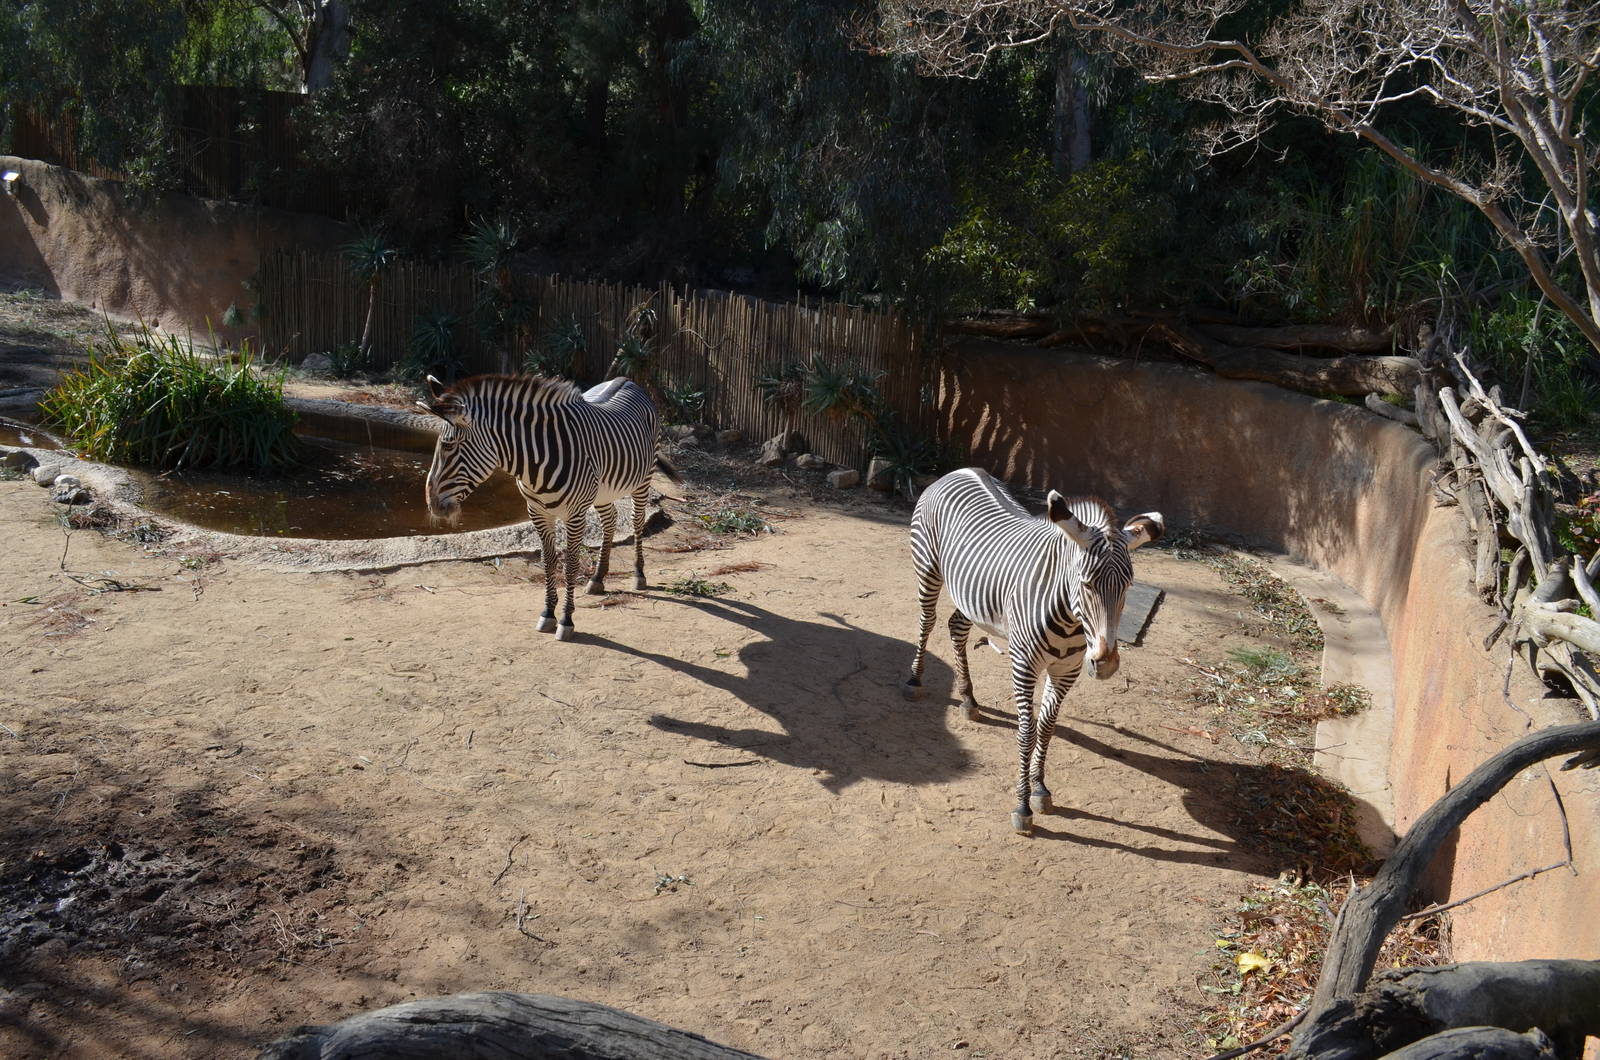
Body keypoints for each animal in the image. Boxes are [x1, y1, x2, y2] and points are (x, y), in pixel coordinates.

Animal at [416, 373, 679, 641]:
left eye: (448, 445)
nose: (432, 504)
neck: (536, 461)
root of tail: (626, 379)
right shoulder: (537, 511)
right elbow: (549, 560)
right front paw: (547, 613)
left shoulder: (575, 514)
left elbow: (570, 564)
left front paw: (566, 620)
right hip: (604, 491)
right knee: (611, 520)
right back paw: (597, 578)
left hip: (643, 479)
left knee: (636, 521)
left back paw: (638, 574)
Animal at [903, 467, 1163, 835]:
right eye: (1086, 584)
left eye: (1128, 586)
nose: (1106, 664)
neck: (1069, 620)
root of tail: (960, 471)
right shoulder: (1024, 665)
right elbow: (1026, 732)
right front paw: (1022, 805)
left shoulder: (1066, 670)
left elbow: (1047, 728)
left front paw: (1040, 789)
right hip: (927, 567)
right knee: (927, 620)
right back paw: (914, 680)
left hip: (972, 598)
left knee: (956, 627)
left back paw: (969, 700)